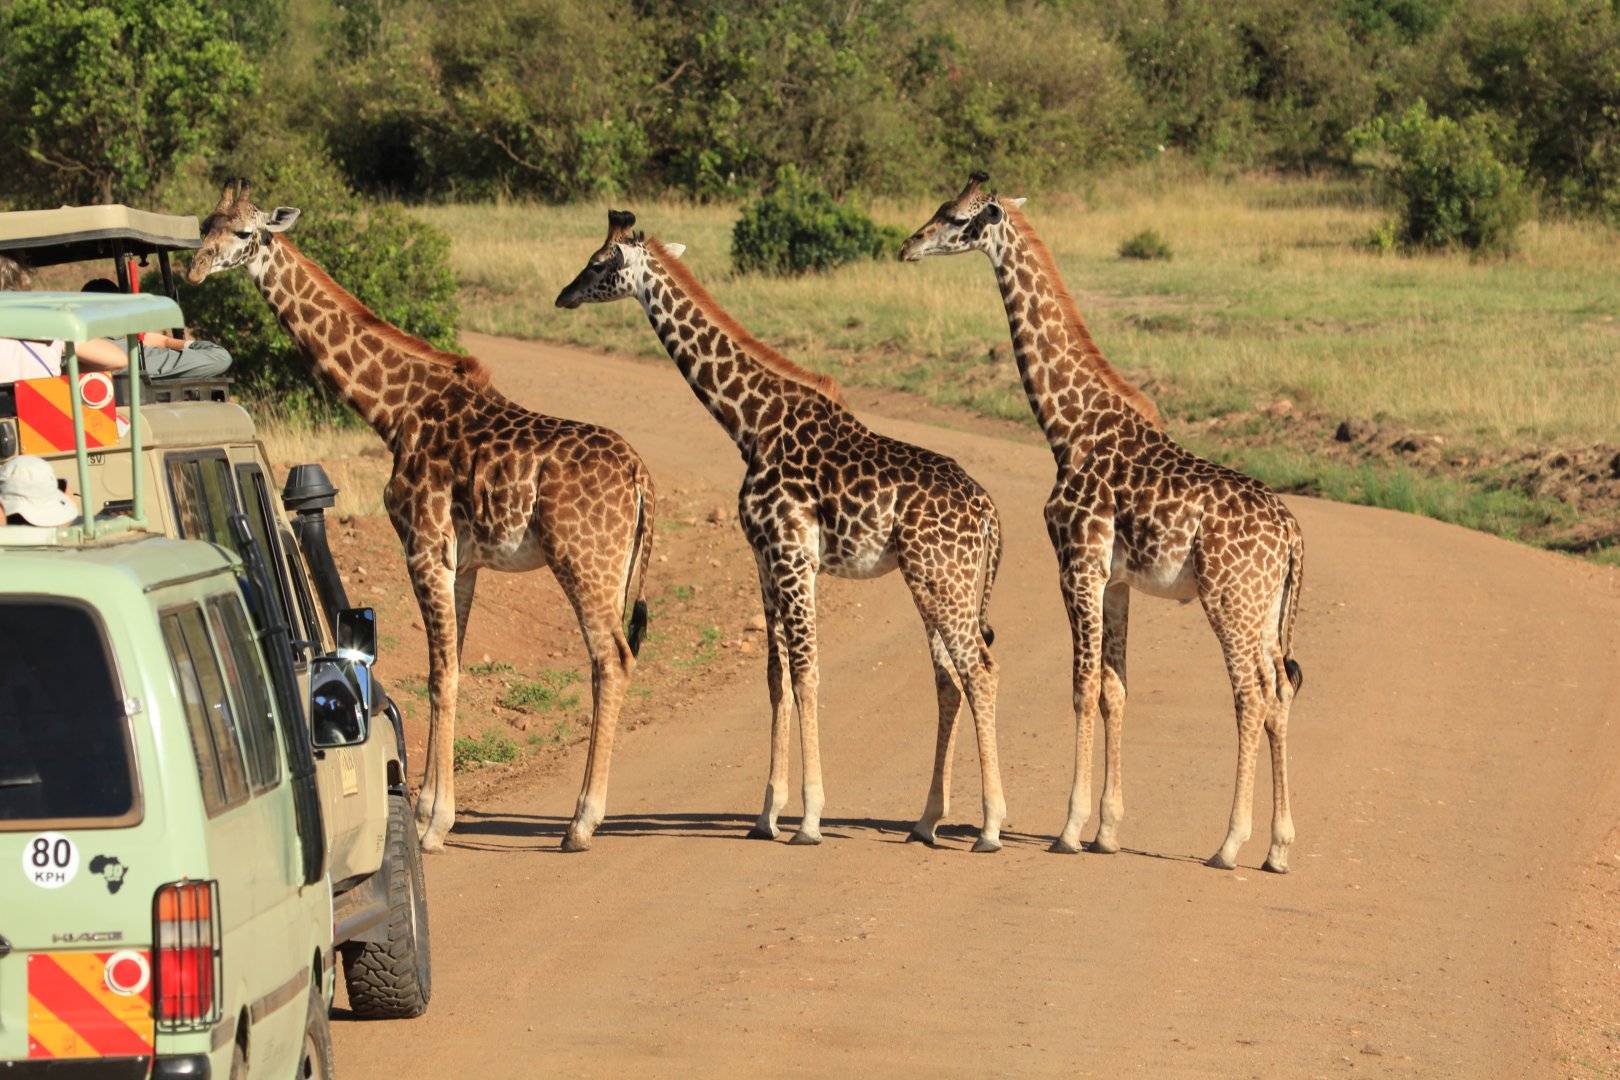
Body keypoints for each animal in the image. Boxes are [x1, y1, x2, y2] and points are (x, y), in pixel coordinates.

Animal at [187, 181, 657, 854]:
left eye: (246, 234)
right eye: (206, 223)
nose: (196, 270)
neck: (394, 410)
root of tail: (643, 480)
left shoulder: (421, 543)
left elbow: (439, 674)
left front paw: (433, 823)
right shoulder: (462, 560)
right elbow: (452, 665)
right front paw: (433, 807)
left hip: (582, 560)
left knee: (611, 658)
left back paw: (582, 822)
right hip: (616, 569)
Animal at [556, 210, 1008, 851]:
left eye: (598, 263)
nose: (563, 295)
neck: (751, 424)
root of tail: (991, 515)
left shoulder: (793, 555)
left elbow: (807, 672)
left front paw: (811, 819)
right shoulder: (766, 561)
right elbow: (776, 676)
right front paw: (767, 815)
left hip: (940, 578)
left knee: (979, 672)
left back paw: (991, 826)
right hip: (944, 582)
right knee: (950, 677)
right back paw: (926, 822)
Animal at [899, 172, 1305, 872]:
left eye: (954, 217)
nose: (907, 245)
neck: (1067, 426)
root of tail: (1293, 536)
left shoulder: (1077, 564)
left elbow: (1082, 685)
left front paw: (1068, 828)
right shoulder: (1115, 580)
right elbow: (1116, 688)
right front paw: (1107, 831)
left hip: (1230, 601)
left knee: (1251, 697)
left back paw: (1229, 844)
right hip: (1265, 609)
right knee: (1278, 696)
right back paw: (1278, 849)